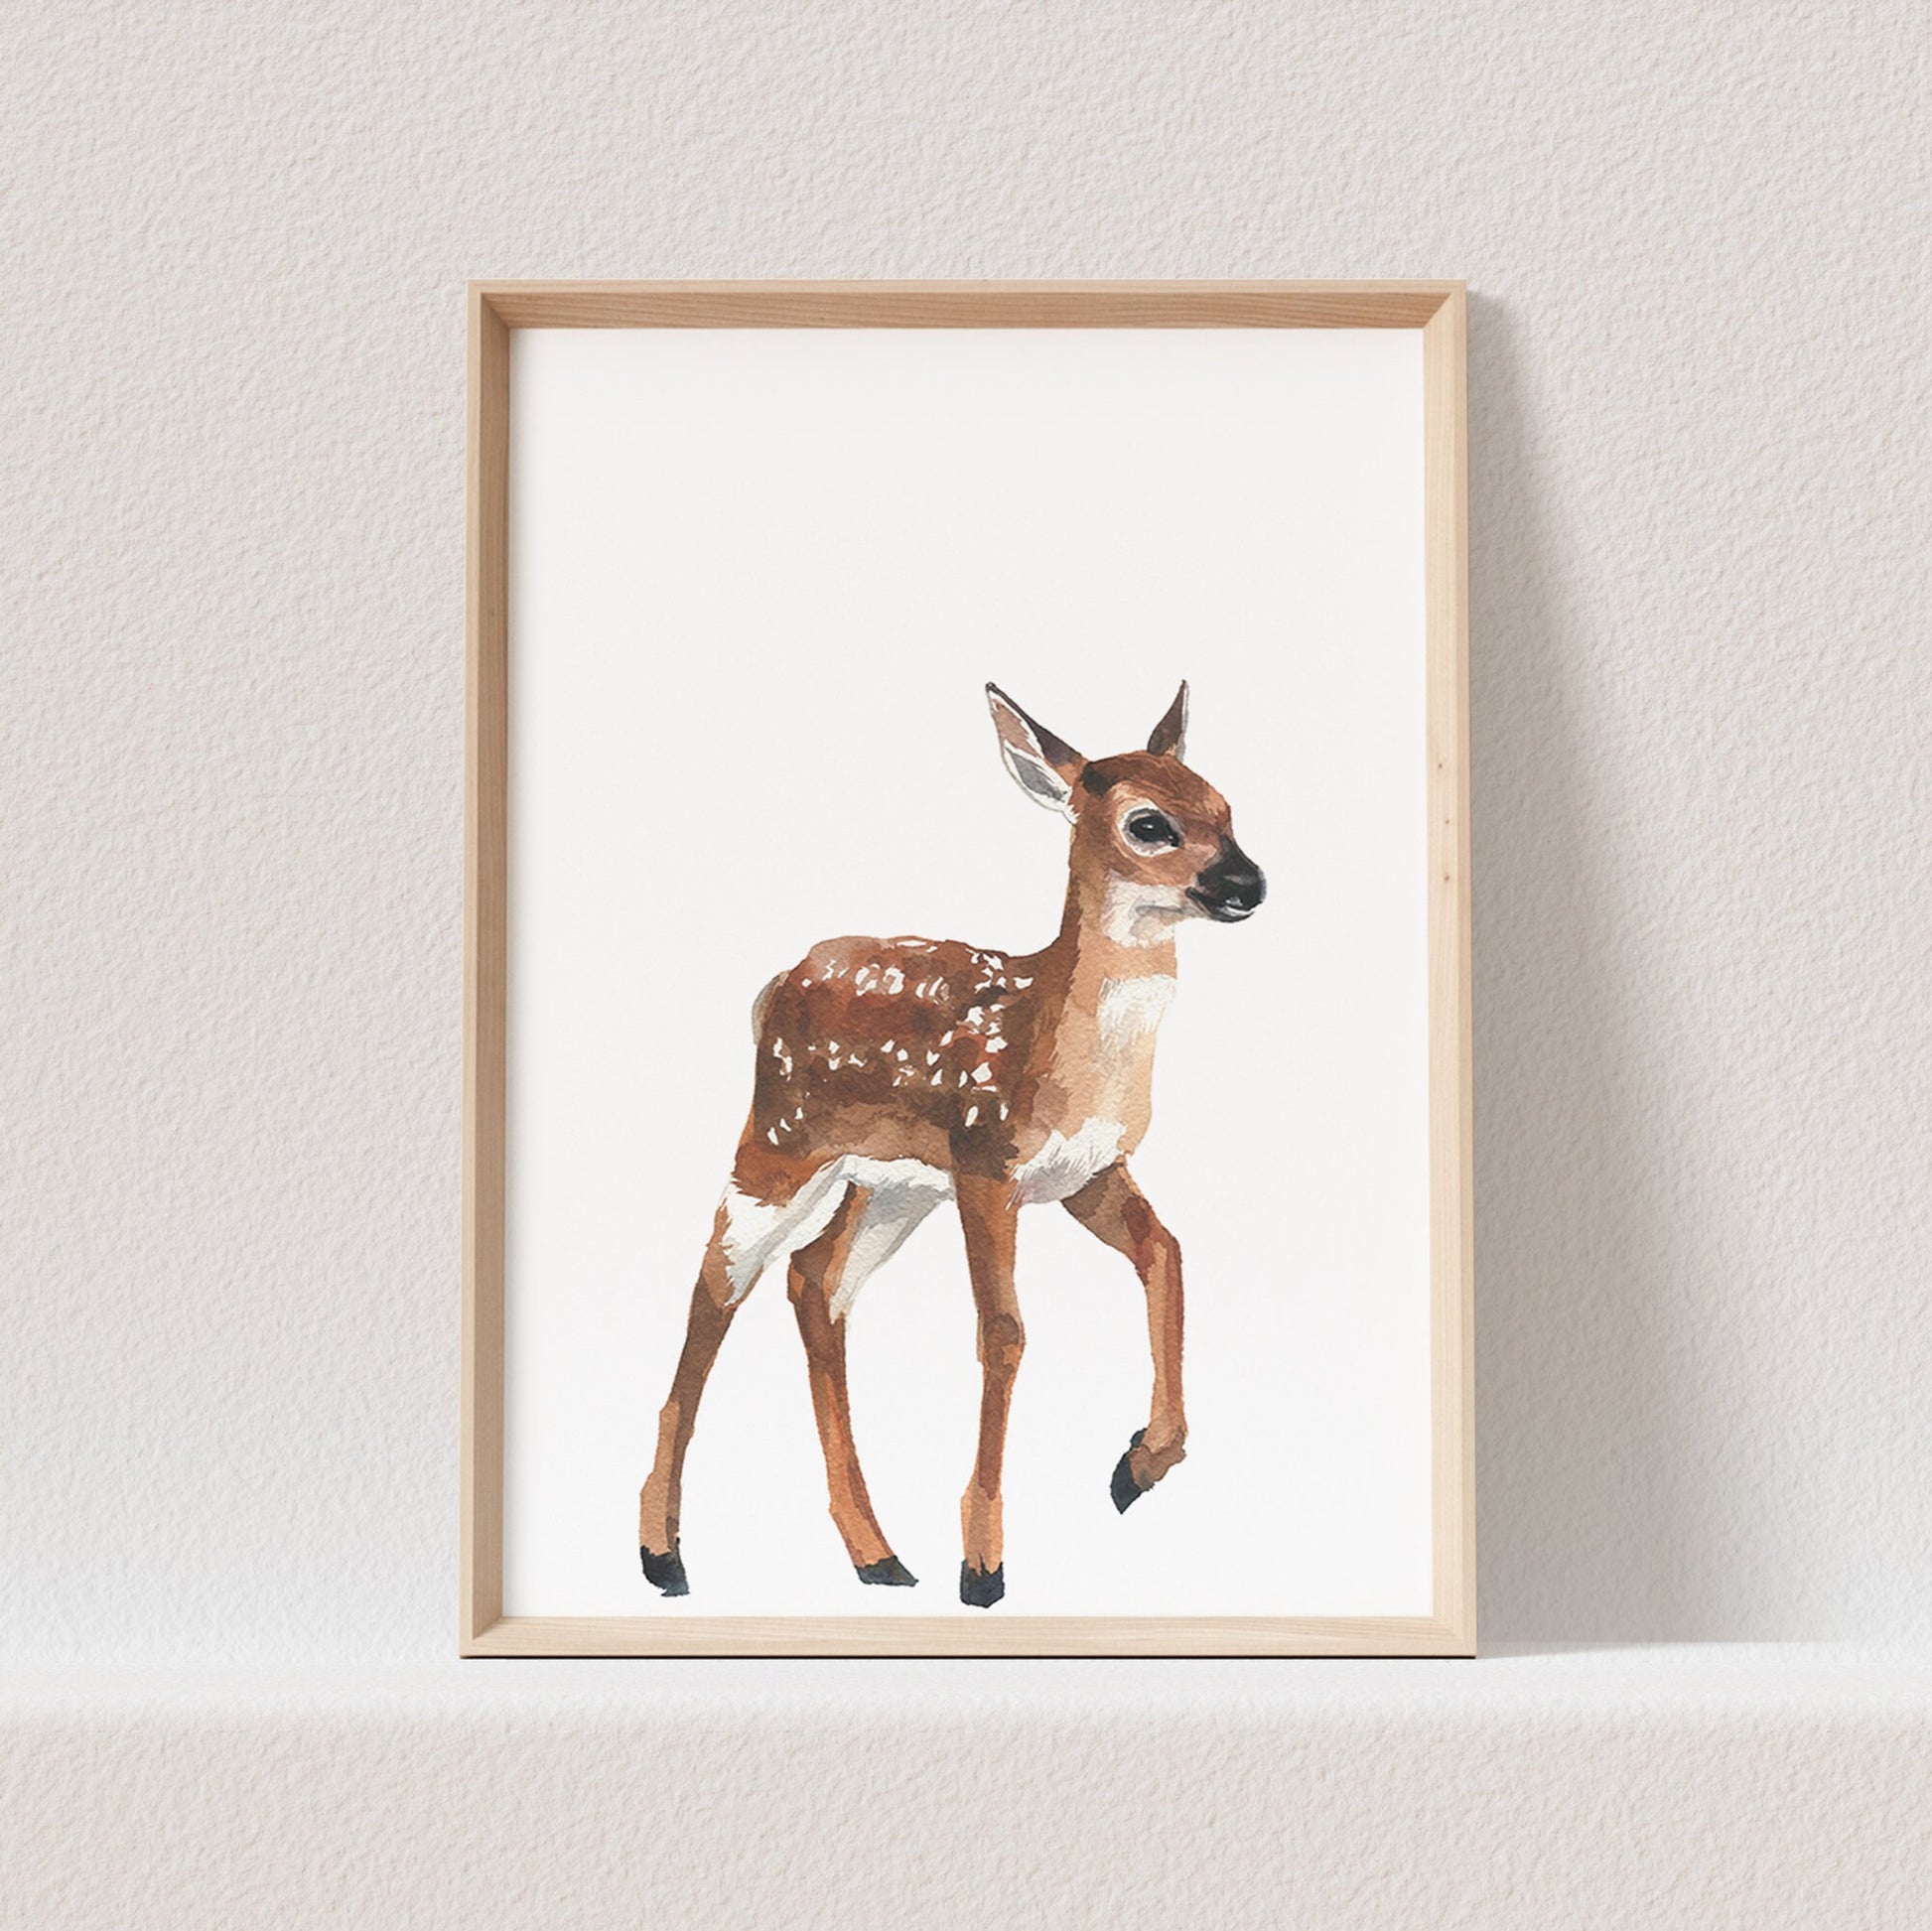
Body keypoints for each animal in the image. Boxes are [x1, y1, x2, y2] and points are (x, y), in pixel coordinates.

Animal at [638, 682, 1265, 1607]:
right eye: (1149, 823)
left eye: (1226, 807)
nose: (1247, 882)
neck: (1064, 1053)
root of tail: (773, 986)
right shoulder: (986, 1159)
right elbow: (1003, 1330)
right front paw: (983, 1563)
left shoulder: (1089, 1173)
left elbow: (1166, 1251)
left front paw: (1140, 1461)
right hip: (782, 1139)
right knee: (717, 1284)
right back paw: (663, 1553)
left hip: (888, 1184)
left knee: (815, 1282)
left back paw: (877, 1553)